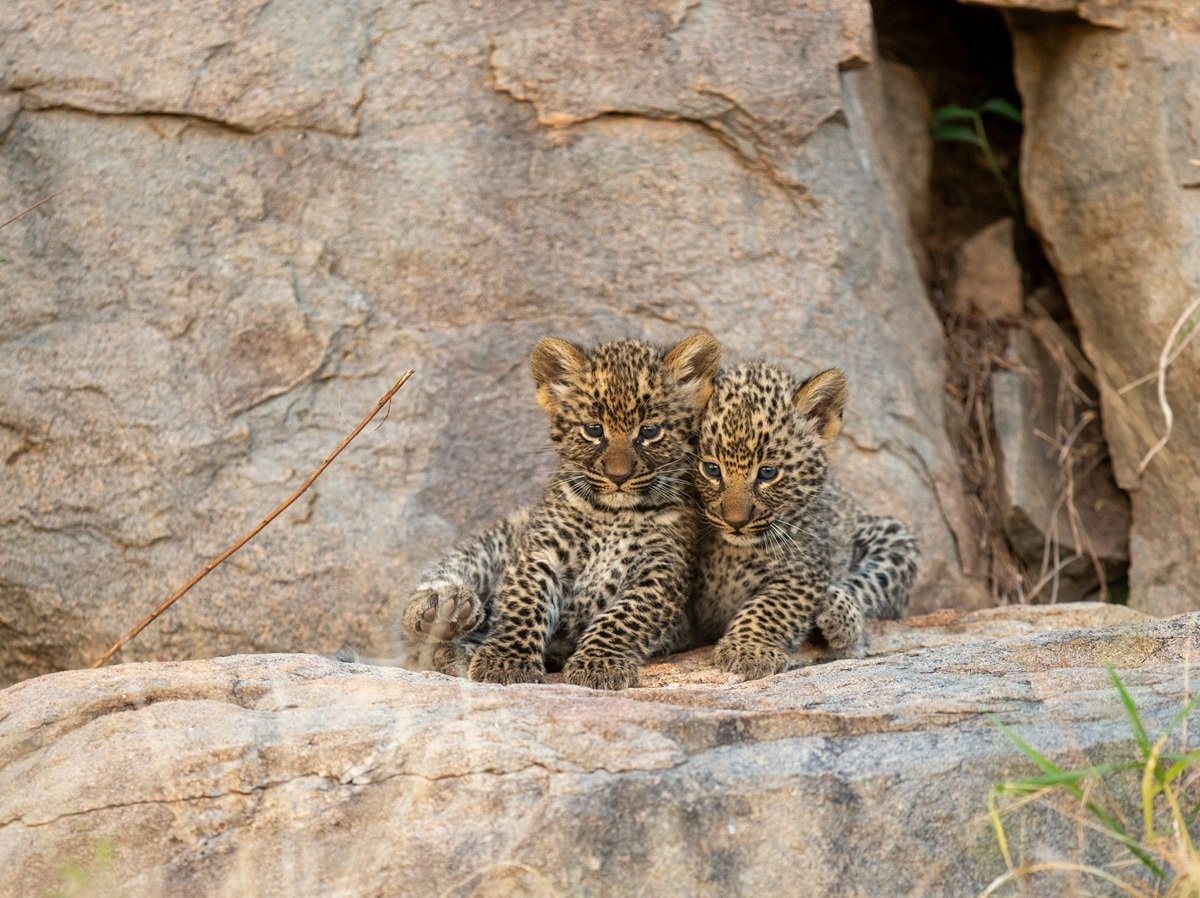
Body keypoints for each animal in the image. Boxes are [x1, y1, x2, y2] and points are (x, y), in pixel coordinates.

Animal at [398, 331, 722, 690]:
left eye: (650, 432)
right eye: (593, 430)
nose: (618, 476)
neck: (614, 515)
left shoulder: (663, 572)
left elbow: (624, 617)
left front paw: (599, 665)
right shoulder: (541, 552)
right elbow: (524, 602)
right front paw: (505, 662)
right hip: (504, 537)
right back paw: (444, 611)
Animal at [691, 361, 918, 680]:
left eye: (768, 473)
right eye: (711, 469)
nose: (736, 522)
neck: (733, 551)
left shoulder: (802, 571)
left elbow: (770, 608)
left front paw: (748, 650)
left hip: (890, 535)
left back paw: (839, 617)